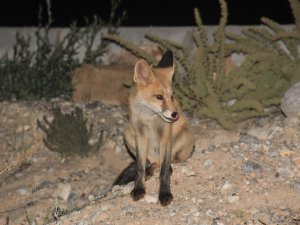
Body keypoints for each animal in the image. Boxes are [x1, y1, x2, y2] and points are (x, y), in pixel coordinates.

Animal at [113, 50, 195, 206]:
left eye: (171, 97)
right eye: (159, 97)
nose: (175, 114)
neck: (149, 118)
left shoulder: (165, 136)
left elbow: (164, 171)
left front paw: (164, 193)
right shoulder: (140, 135)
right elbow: (139, 168)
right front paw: (139, 188)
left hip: (184, 138)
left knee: (168, 162)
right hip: (127, 134)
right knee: (151, 162)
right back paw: (150, 170)